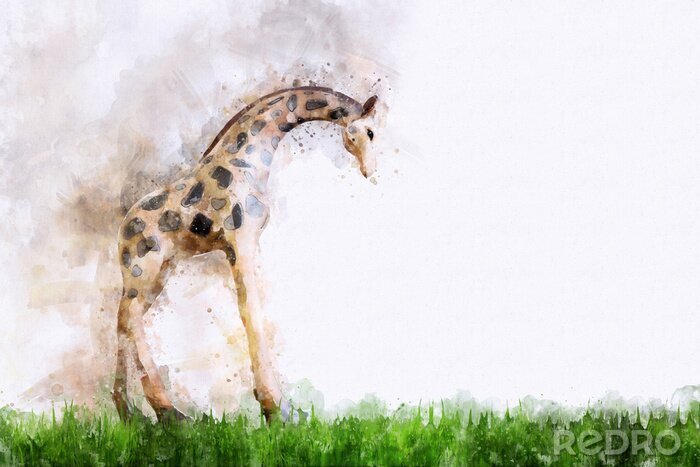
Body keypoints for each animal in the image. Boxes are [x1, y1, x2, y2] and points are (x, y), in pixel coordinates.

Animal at [113, 86, 379, 422]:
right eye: (368, 132)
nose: (370, 172)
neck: (247, 162)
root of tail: (122, 231)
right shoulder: (242, 241)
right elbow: (250, 309)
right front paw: (275, 408)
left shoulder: (240, 246)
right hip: (144, 268)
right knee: (130, 319)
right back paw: (169, 413)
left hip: (158, 273)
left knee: (124, 321)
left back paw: (132, 414)